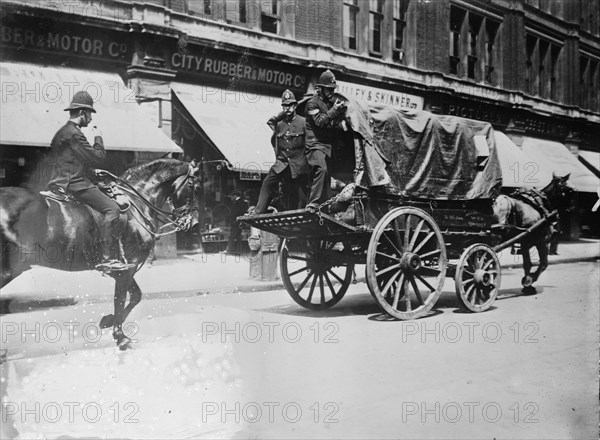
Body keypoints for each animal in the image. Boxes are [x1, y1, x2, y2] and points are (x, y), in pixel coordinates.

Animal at [0, 158, 202, 348]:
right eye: (195, 186)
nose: (194, 224)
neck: (135, 205)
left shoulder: (122, 268)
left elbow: (135, 296)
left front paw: (108, 321)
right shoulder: (127, 268)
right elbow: (121, 299)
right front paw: (120, 337)